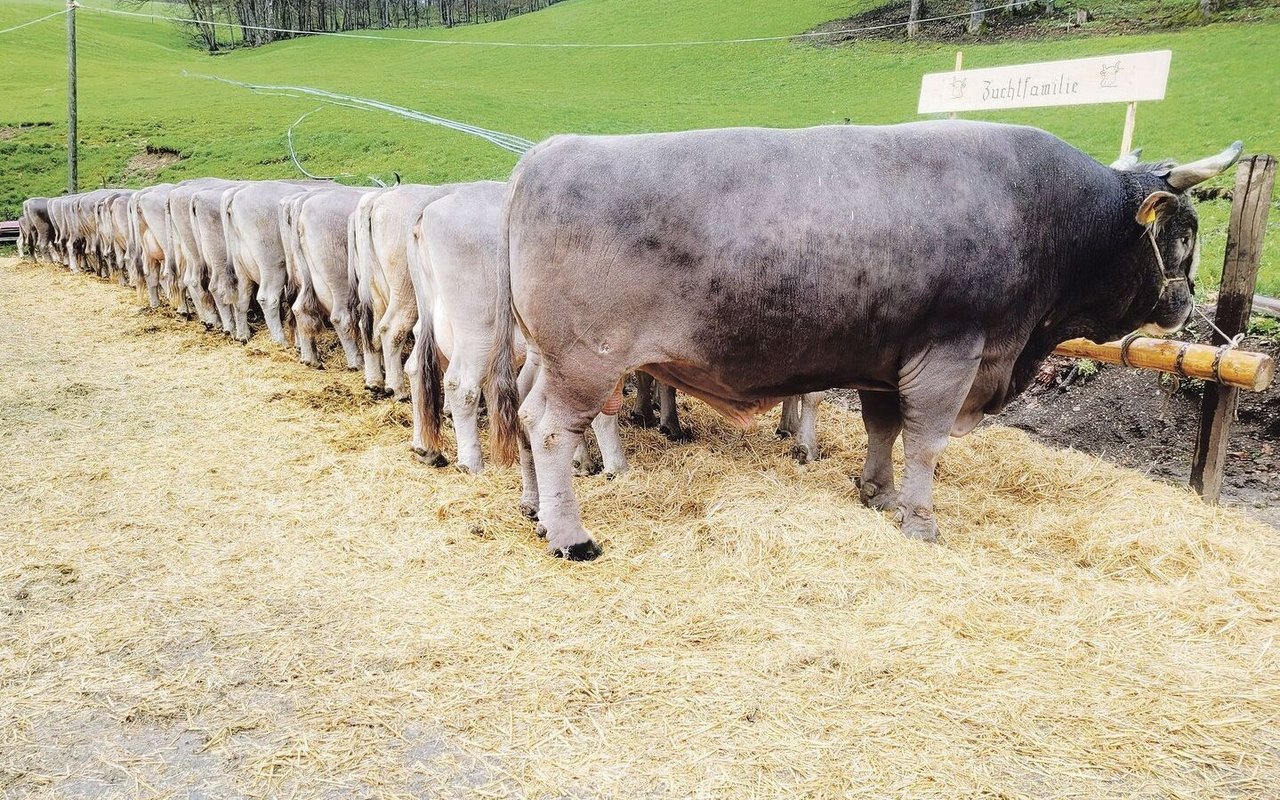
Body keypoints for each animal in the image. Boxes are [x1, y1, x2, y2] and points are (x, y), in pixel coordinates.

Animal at [486, 121, 1239, 558]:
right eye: (1184, 233)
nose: (1184, 305)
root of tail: (544, 156)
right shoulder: (952, 351)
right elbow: (926, 441)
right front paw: (922, 521)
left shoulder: (888, 355)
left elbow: (884, 427)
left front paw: (878, 494)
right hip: (585, 361)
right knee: (549, 428)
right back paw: (571, 535)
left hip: (545, 355)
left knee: (521, 413)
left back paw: (532, 508)